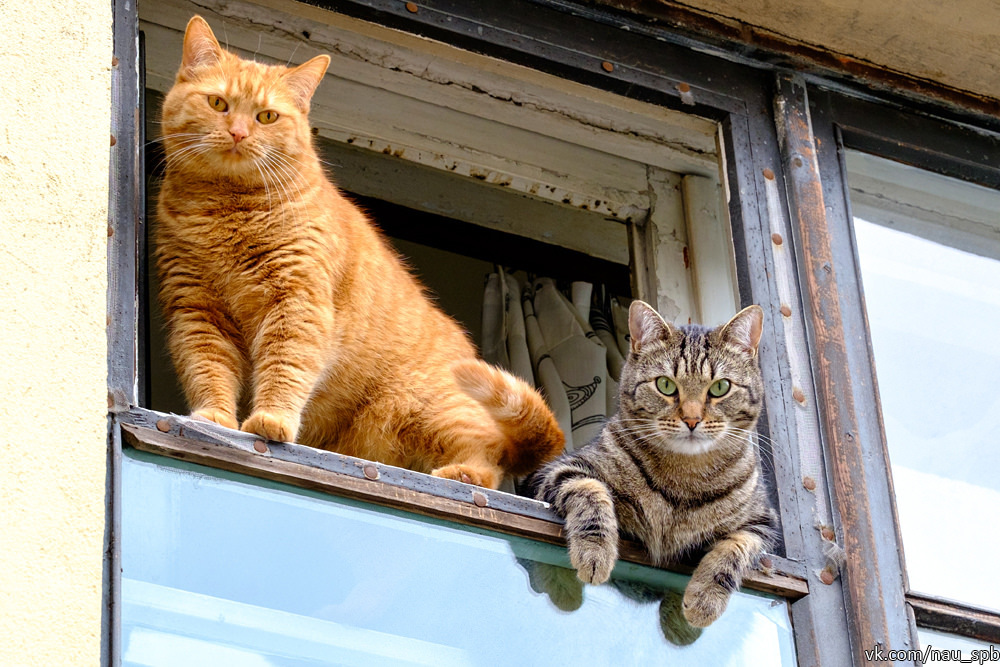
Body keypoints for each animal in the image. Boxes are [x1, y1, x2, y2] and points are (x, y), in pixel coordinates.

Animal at [155, 13, 564, 488]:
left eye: (267, 116)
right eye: (219, 104)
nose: (238, 132)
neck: (225, 210)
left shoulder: (297, 304)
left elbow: (285, 366)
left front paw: (272, 420)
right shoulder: (197, 311)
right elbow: (209, 370)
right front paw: (214, 418)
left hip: (426, 408)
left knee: (490, 459)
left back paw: (462, 474)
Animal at [532, 300, 772, 628]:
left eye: (721, 387)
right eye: (666, 385)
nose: (692, 420)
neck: (684, 475)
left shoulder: (761, 524)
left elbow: (734, 550)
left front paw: (703, 602)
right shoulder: (560, 471)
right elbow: (591, 492)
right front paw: (594, 554)